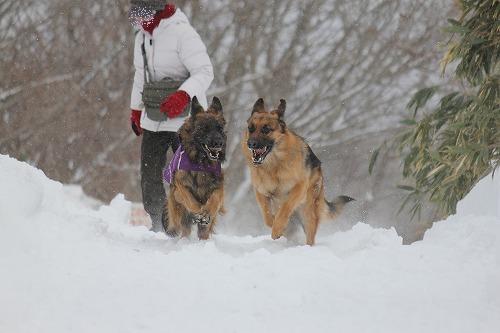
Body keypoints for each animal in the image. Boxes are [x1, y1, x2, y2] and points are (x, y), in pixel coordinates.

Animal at [164, 96, 227, 239]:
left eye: (220, 128)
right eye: (205, 128)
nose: (219, 143)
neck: (201, 164)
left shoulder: (219, 186)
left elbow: (215, 198)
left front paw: (206, 211)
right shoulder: (179, 188)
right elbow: (190, 200)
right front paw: (199, 212)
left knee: (203, 231)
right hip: (178, 213)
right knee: (184, 228)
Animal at [241, 97, 352, 245]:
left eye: (266, 129)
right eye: (251, 129)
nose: (251, 143)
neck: (274, 165)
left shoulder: (299, 187)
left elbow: (286, 207)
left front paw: (277, 228)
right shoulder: (261, 193)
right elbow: (267, 216)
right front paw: (275, 225)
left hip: (308, 213)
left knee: (310, 236)